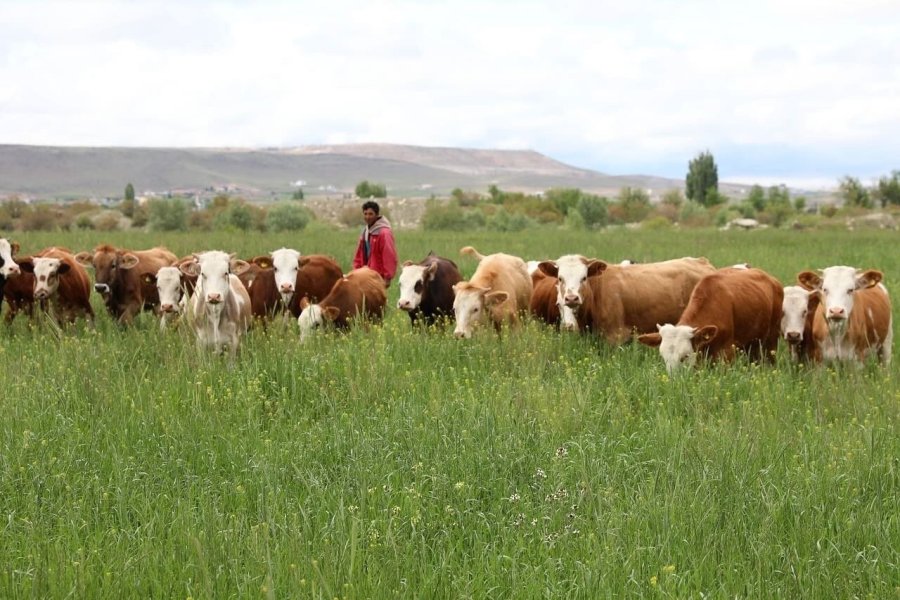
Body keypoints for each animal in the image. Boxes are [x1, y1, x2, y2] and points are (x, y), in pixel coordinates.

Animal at [636, 268, 784, 372]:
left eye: (684, 356)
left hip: (771, 339)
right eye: (663, 357)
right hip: (751, 342)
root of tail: (773, 280)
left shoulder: (727, 353)